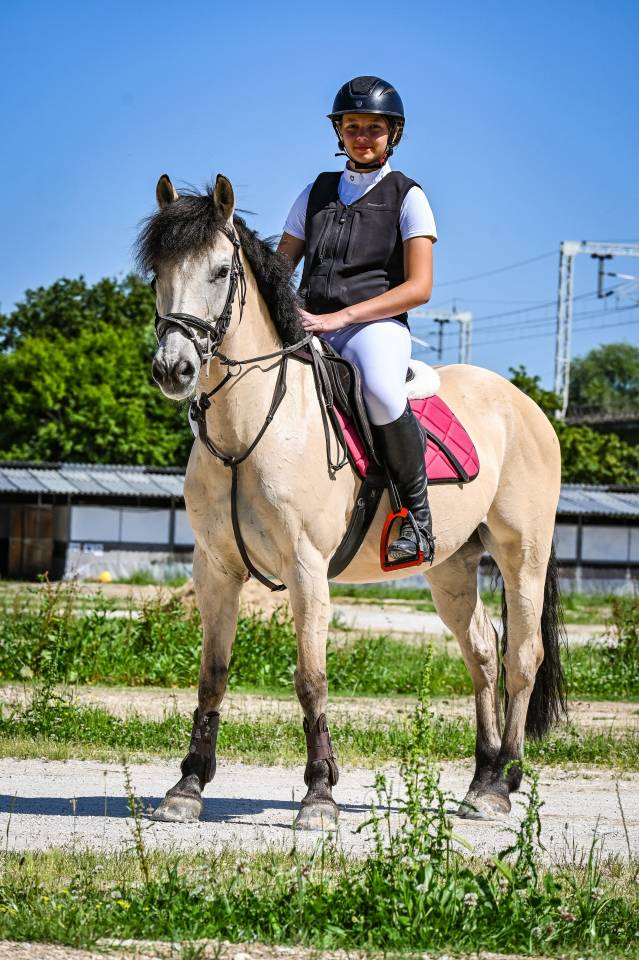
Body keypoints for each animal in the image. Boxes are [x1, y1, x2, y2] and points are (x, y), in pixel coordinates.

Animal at [137, 172, 565, 830]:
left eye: (220, 270)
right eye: (157, 271)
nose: (174, 369)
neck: (249, 427)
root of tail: (523, 403)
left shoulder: (307, 567)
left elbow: (311, 677)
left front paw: (319, 795)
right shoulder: (215, 569)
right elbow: (211, 675)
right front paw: (186, 787)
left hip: (524, 554)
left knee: (522, 656)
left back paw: (504, 786)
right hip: (452, 565)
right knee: (482, 653)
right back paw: (481, 780)